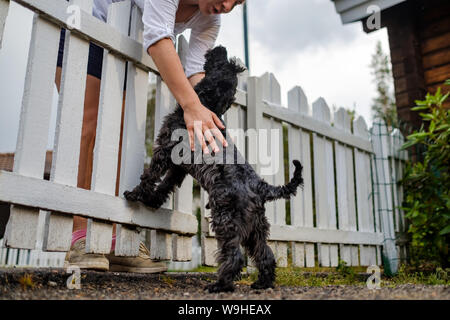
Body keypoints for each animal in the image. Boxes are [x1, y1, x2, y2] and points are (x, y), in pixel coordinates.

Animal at [125, 45, 304, 292]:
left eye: (222, 62)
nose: (220, 47)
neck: (208, 105)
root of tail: (261, 187)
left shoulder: (164, 150)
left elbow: (150, 176)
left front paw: (135, 195)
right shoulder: (179, 167)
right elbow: (166, 185)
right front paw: (152, 201)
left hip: (225, 221)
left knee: (234, 256)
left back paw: (220, 285)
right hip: (256, 227)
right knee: (265, 254)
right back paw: (262, 283)